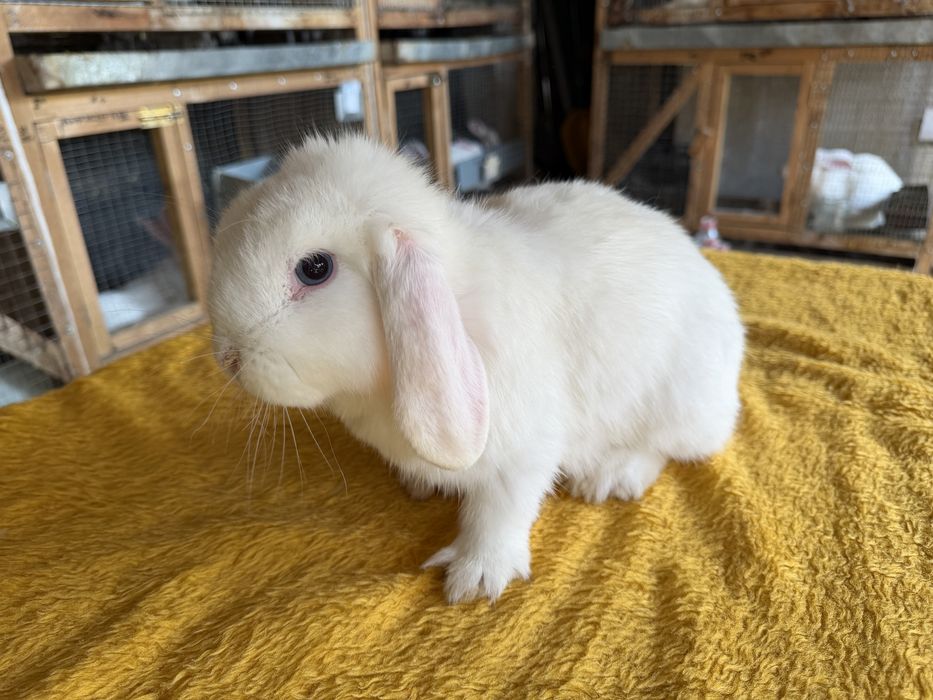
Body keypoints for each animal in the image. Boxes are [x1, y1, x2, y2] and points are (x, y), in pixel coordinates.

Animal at [207, 135, 745, 604]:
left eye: (315, 268)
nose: (227, 358)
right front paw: (419, 486)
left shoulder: (523, 450)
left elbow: (501, 509)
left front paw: (475, 578)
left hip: (682, 403)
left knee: (669, 449)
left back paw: (610, 477)